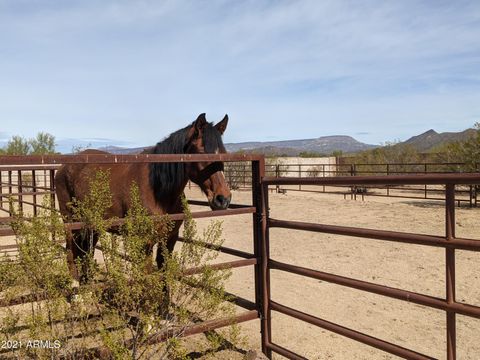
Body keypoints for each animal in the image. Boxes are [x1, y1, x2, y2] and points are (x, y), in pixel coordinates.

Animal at [55, 113, 232, 282]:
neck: (157, 190)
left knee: (86, 252)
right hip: (71, 222)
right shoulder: (144, 243)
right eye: (202, 153)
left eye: (224, 154)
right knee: (71, 252)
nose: (223, 199)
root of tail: (62, 168)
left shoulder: (169, 241)